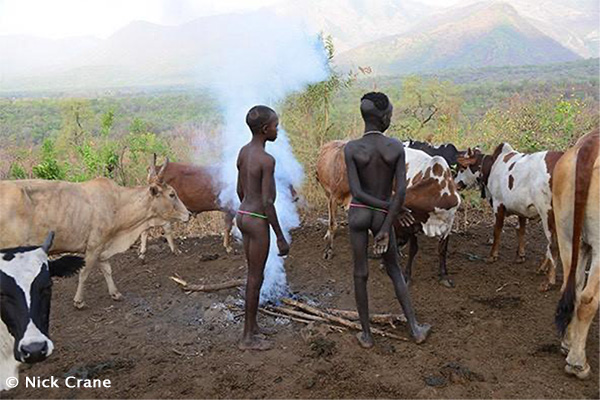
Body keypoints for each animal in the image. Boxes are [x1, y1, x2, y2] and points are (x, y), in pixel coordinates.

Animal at [0, 162, 190, 310]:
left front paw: (115, 293)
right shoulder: (94, 246)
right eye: (172, 194)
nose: (188, 214)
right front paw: (79, 301)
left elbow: (107, 269)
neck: (117, 204)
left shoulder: (103, 246)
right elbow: (84, 274)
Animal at [316, 139, 462, 286]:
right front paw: (406, 275)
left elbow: (442, 249)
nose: (400, 242)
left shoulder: (448, 223)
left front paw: (444, 276)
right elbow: (413, 249)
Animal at [454, 144, 564, 290]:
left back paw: (549, 281)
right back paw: (542, 268)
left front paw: (492, 256)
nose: (455, 183)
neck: (492, 166)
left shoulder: (498, 204)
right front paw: (520, 255)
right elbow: (521, 230)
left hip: (547, 213)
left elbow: (497, 231)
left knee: (554, 245)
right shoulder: (522, 209)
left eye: (461, 168)